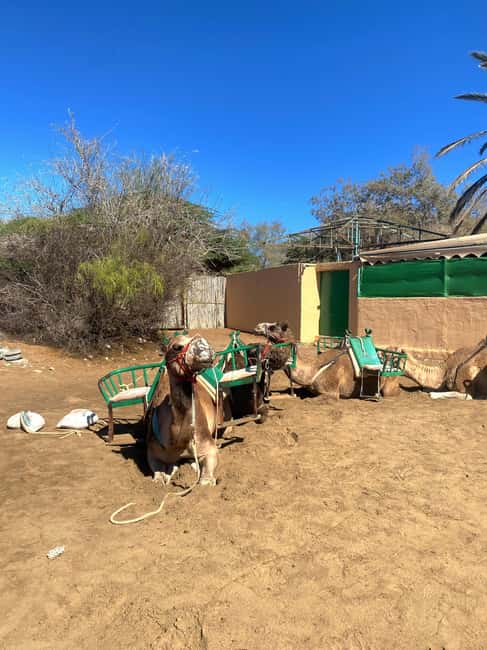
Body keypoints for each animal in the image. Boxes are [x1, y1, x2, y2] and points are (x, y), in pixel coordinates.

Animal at [146, 333, 220, 486]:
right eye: (176, 347)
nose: (205, 347)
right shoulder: (153, 448)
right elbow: (157, 473)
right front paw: (162, 477)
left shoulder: (208, 445)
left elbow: (205, 480)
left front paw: (206, 479)